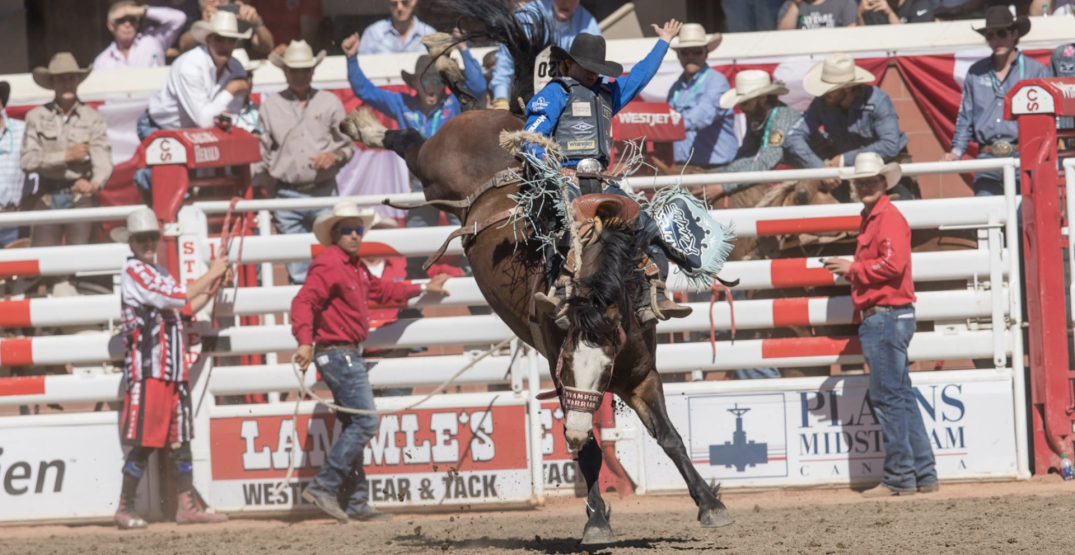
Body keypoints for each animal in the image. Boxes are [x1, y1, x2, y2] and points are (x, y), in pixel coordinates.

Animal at [339, 0, 735, 544]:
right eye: (567, 365)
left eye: (606, 364)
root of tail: (496, 123)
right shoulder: (556, 363)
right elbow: (589, 451)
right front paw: (596, 519)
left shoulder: (641, 373)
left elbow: (669, 436)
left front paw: (709, 503)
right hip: (431, 170)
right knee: (410, 139)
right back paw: (368, 123)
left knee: (464, 98)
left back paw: (444, 63)